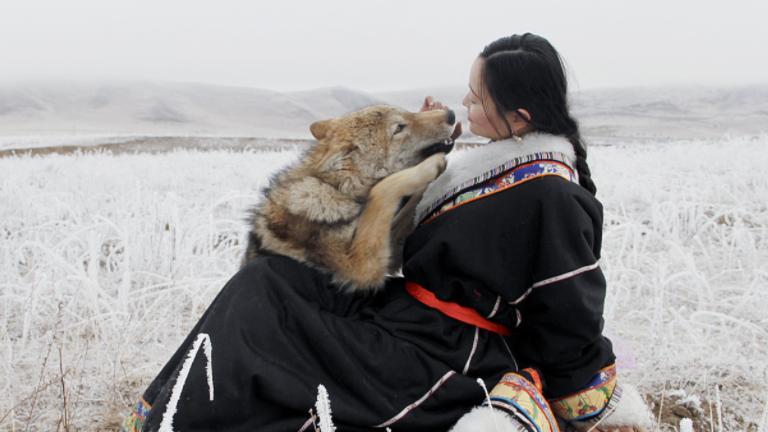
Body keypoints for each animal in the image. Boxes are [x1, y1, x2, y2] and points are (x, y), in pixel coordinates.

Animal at [243, 104, 462, 290]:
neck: (336, 189)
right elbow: (383, 189)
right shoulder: (361, 266)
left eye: (409, 112)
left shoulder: (389, 251)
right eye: (399, 127)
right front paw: (431, 167)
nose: (451, 114)